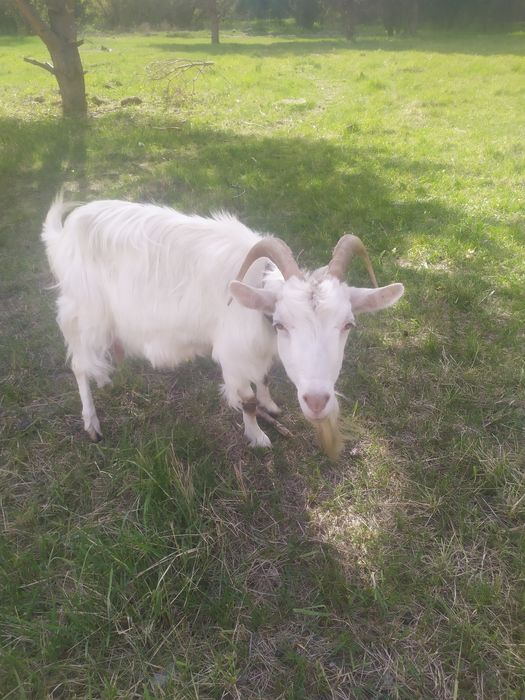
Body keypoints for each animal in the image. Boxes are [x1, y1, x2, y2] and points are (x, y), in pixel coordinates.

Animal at [42, 192, 404, 459]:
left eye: (348, 324)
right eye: (281, 324)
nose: (316, 402)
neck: (257, 288)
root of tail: (63, 234)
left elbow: (264, 377)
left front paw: (271, 404)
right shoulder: (232, 355)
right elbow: (247, 400)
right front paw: (257, 435)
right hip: (84, 312)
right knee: (78, 364)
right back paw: (92, 423)